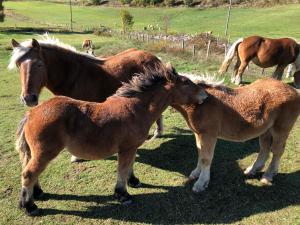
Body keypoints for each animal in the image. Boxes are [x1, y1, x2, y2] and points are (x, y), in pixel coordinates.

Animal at [8, 35, 164, 162]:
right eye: (18, 65)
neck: (73, 74)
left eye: (39, 64)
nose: (28, 98)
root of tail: (154, 57)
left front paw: (76, 157)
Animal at [14, 64, 206, 215]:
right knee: (29, 173)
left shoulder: (131, 148)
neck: (136, 109)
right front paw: (123, 195)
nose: (204, 95)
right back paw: (30, 206)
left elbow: (129, 166)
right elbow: (122, 169)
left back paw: (37, 194)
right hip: (44, 153)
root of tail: (31, 113)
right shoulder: (127, 148)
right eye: (186, 82)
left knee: (31, 172)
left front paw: (134, 182)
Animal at [172, 73, 300, 192]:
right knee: (265, 149)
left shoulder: (208, 135)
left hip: (281, 130)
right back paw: (253, 170)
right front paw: (196, 174)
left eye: (186, 82)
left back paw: (268, 175)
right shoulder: (198, 134)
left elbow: (205, 158)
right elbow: (200, 153)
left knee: (277, 151)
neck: (201, 104)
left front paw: (201, 183)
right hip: (265, 130)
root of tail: (295, 91)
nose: (203, 97)